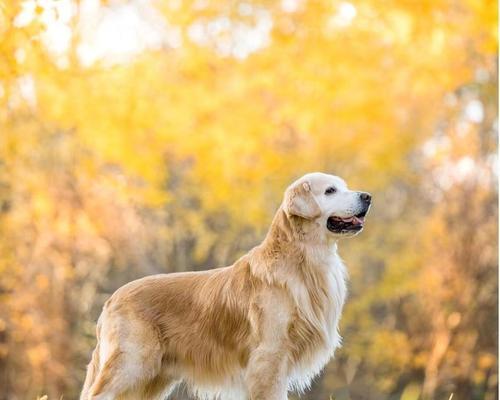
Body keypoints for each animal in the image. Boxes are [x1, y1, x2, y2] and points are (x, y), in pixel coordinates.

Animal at [80, 172, 372, 400]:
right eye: (330, 190)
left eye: (344, 186)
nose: (367, 196)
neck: (302, 261)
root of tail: (111, 299)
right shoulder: (269, 357)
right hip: (132, 362)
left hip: (153, 377)